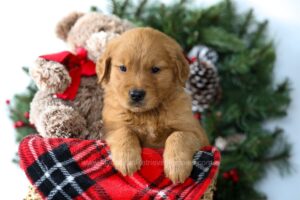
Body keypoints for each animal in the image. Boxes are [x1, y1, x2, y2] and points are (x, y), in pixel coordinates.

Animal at [96, 27, 209, 183]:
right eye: (123, 68)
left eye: (155, 69)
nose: (136, 94)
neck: (149, 113)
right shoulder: (110, 127)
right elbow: (124, 131)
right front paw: (127, 159)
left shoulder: (197, 133)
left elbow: (178, 135)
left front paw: (176, 166)